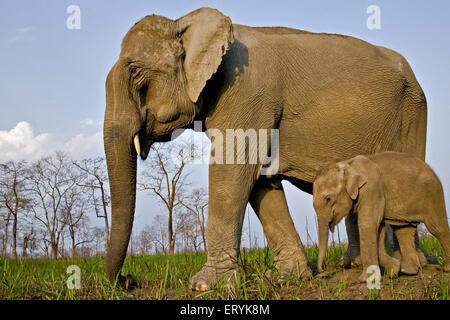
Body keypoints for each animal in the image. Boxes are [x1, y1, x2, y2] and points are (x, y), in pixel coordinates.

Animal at [103, 7, 428, 288]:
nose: (127, 280)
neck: (185, 22)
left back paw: (412, 265)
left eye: (135, 73)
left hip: (413, 113)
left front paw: (205, 285)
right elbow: (260, 178)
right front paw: (287, 277)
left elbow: (232, 172)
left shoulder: (246, 91)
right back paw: (360, 264)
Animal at [312, 151, 450, 282]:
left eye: (328, 199)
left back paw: (446, 269)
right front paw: (393, 270)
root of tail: (429, 168)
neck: (348, 164)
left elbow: (367, 224)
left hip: (433, 193)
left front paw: (366, 280)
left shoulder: (372, 189)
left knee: (437, 228)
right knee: (403, 230)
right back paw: (407, 271)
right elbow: (378, 227)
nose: (323, 269)